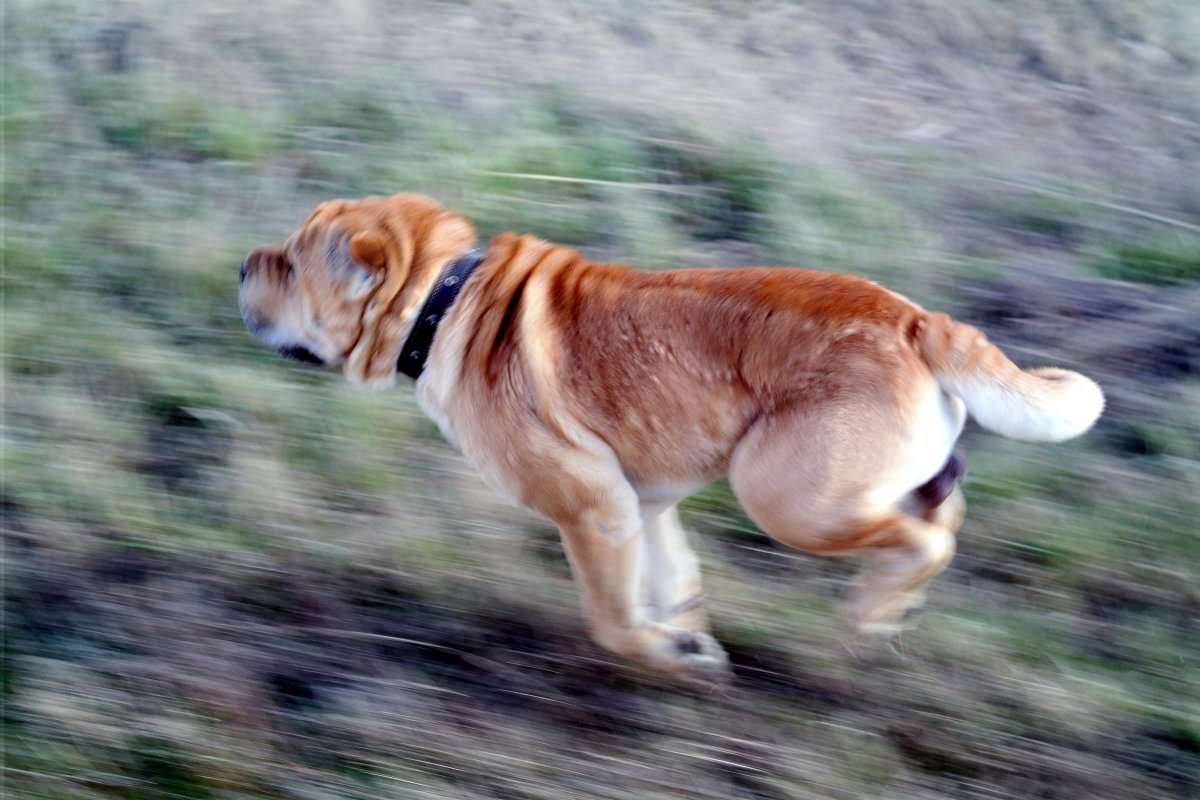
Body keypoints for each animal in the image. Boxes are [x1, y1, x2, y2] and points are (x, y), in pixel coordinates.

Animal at [236, 191, 1104, 681]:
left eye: (292, 263)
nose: (244, 262)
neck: (443, 301)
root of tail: (919, 322)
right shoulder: (642, 506)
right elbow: (673, 582)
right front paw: (687, 644)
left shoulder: (594, 513)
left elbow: (613, 621)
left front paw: (666, 657)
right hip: (845, 487)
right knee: (941, 509)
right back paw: (891, 613)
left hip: (783, 495)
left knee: (927, 539)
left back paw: (867, 614)